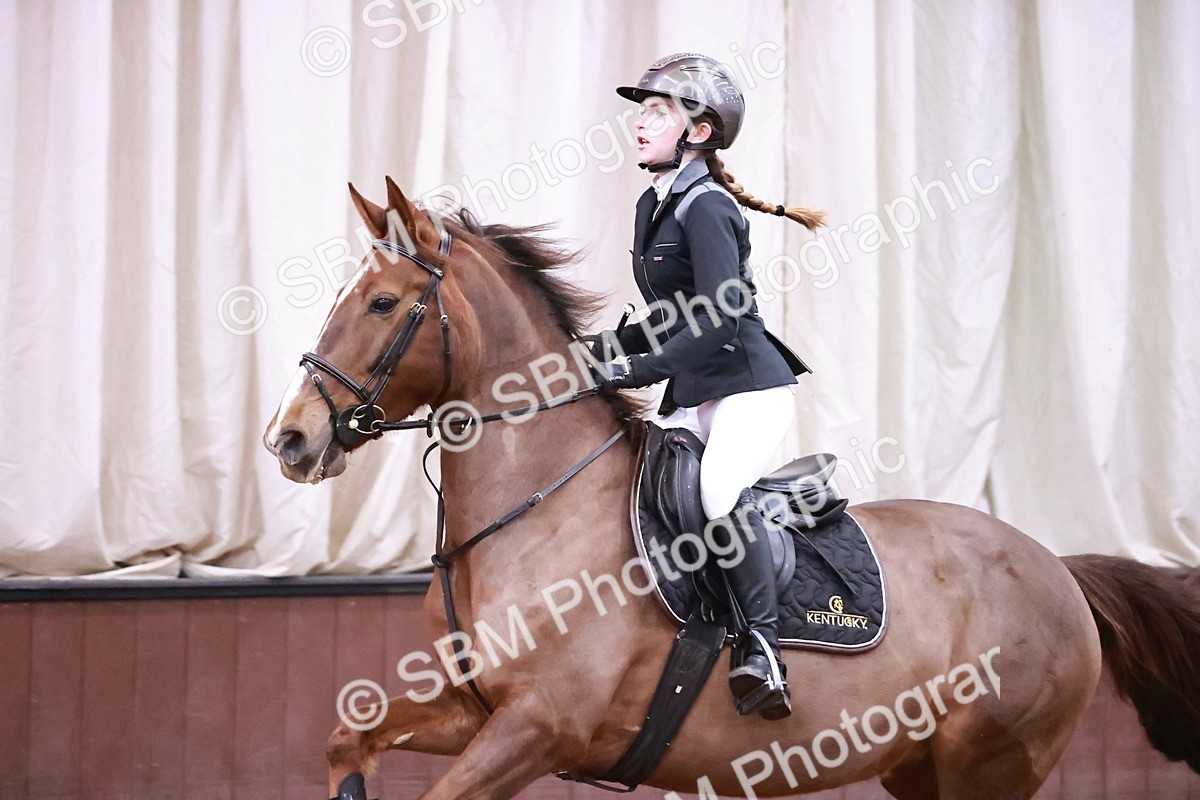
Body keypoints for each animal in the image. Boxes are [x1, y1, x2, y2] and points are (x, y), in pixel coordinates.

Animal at [263, 177, 1200, 800]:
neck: (534, 510)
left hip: (992, 765)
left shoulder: (539, 724)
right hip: (923, 767)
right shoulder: (476, 708)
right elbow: (349, 737)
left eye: (383, 304)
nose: (290, 438)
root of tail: (1058, 567)